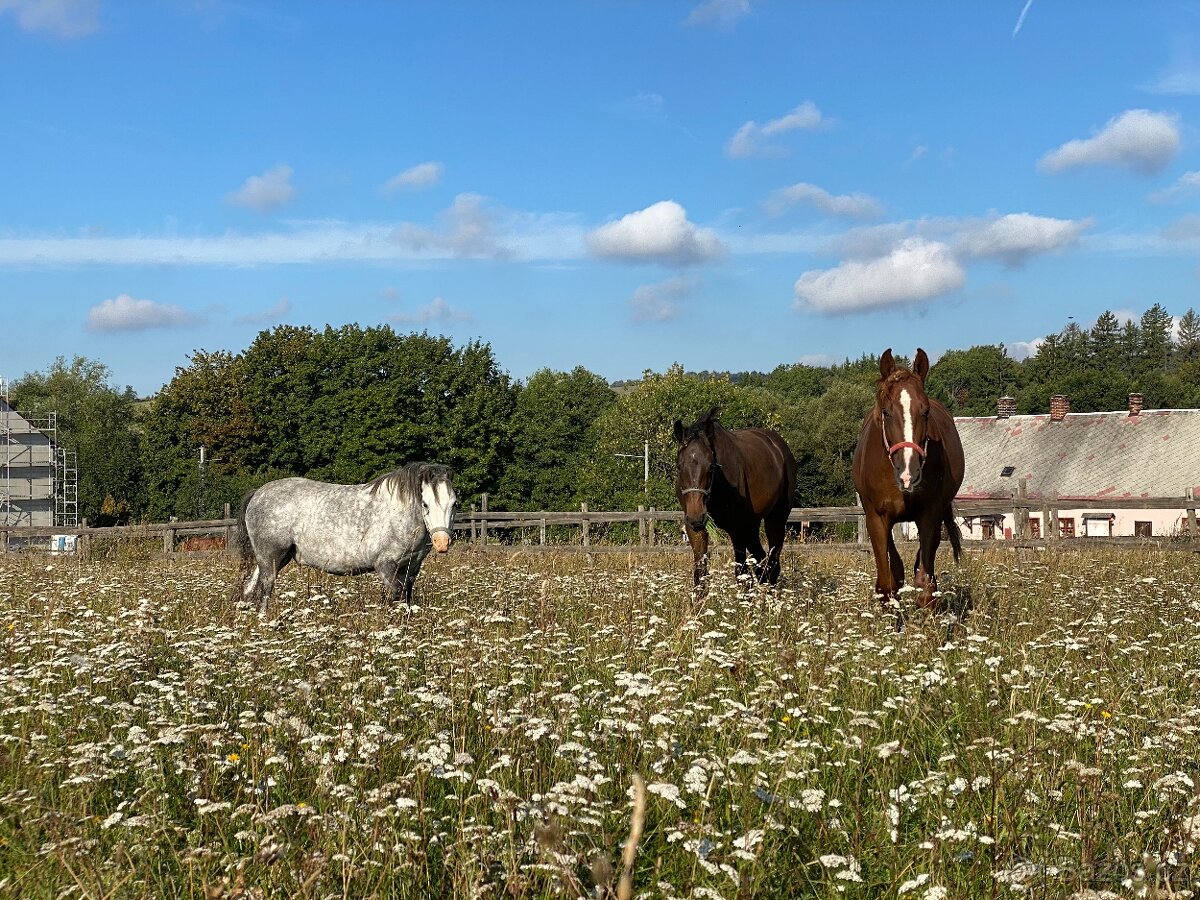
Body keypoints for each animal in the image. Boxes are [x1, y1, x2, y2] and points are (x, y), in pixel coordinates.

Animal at [234, 462, 457, 613]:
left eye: (454, 503)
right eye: (425, 504)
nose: (442, 542)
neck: (399, 514)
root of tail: (258, 493)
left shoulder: (410, 569)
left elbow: (407, 597)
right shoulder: (385, 567)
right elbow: (397, 596)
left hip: (275, 558)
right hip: (270, 557)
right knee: (265, 588)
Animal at [673, 407, 797, 590]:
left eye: (711, 466)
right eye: (679, 466)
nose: (697, 517)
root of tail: (780, 447)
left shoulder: (736, 529)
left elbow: (742, 574)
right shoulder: (696, 530)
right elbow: (700, 576)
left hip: (775, 519)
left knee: (772, 564)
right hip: (752, 525)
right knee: (762, 563)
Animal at [852, 349, 964, 620]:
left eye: (925, 412)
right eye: (886, 412)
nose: (908, 474)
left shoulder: (929, 515)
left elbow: (925, 584)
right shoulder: (876, 519)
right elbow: (887, 583)